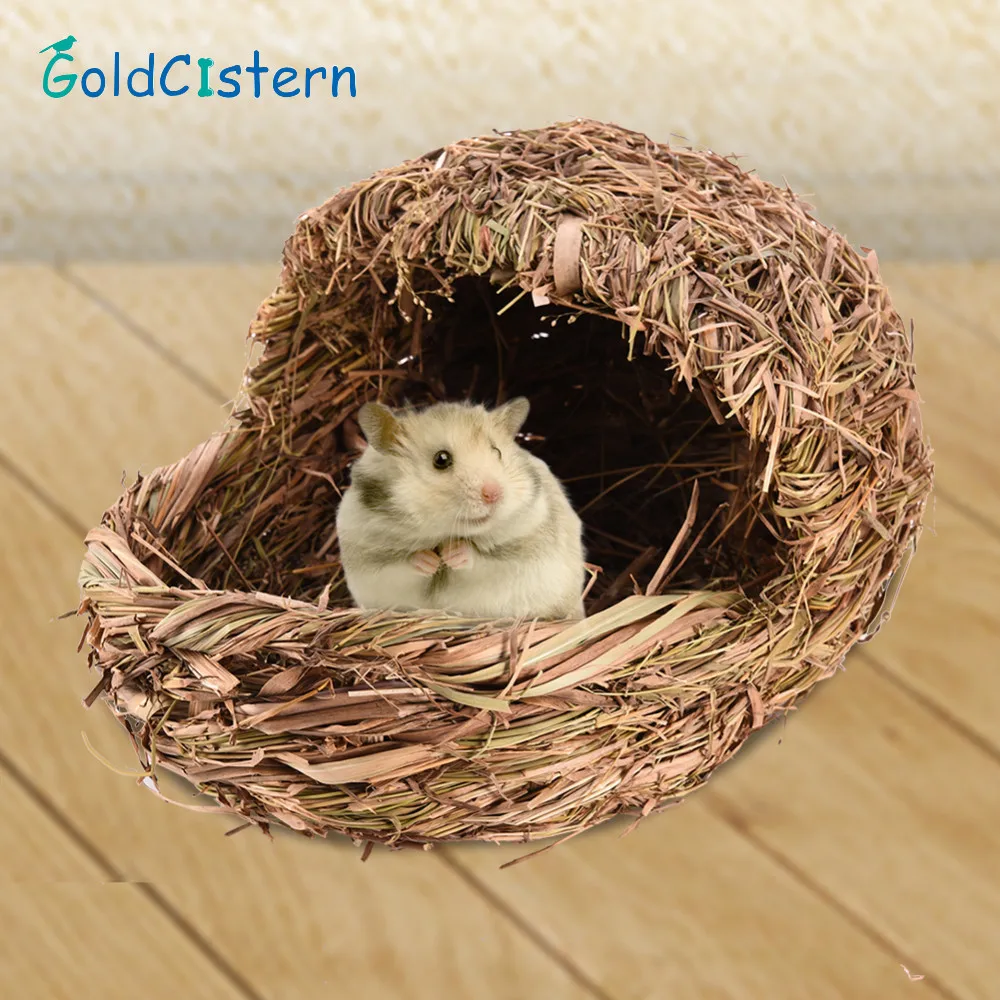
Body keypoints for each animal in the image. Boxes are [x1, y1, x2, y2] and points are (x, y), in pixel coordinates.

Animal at [335, 396, 587, 621]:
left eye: (497, 452)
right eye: (441, 459)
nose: (494, 494)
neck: (445, 533)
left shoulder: (522, 555)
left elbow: (481, 560)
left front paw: (451, 554)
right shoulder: (367, 561)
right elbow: (402, 565)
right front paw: (430, 561)